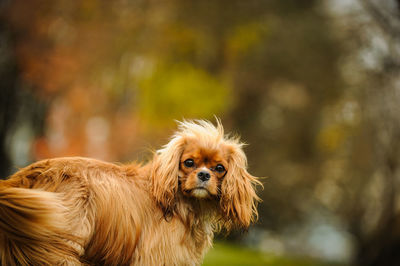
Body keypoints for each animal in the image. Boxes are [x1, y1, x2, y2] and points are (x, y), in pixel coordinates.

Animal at [0, 119, 260, 264]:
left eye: (219, 168)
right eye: (189, 163)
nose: (204, 175)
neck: (181, 203)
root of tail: (26, 176)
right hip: (61, 249)